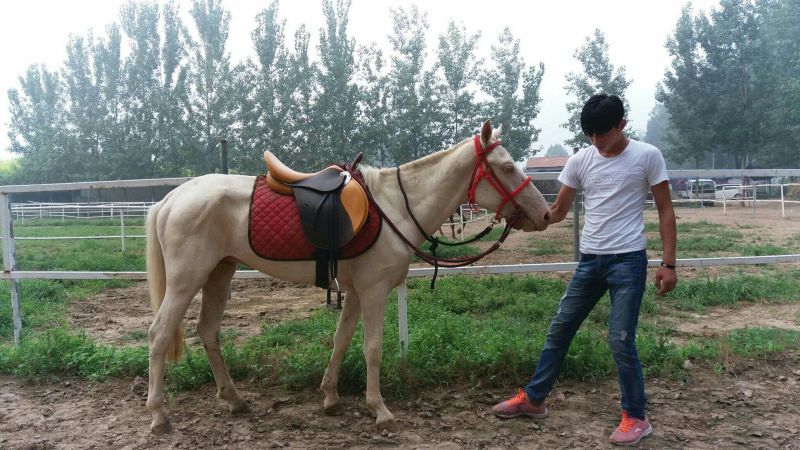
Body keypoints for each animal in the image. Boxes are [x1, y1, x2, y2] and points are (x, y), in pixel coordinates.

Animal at [145, 120, 551, 434]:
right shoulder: (374, 291)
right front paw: (380, 410)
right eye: (508, 168)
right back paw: (160, 416)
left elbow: (341, 341)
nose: (545, 214)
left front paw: (330, 397)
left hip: (219, 273)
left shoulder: (355, 292)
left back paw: (233, 399)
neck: (394, 207)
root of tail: (169, 200)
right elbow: (372, 348)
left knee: (208, 331)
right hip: (186, 281)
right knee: (159, 334)